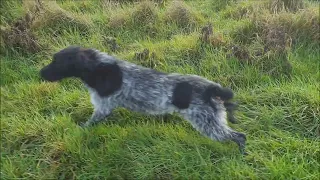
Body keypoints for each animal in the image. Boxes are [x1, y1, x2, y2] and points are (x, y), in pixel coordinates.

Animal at [40, 45, 248, 154]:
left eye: (56, 61)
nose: (40, 73)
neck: (98, 68)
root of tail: (213, 88)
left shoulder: (102, 108)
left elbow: (85, 126)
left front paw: (75, 132)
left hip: (208, 123)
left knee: (240, 136)